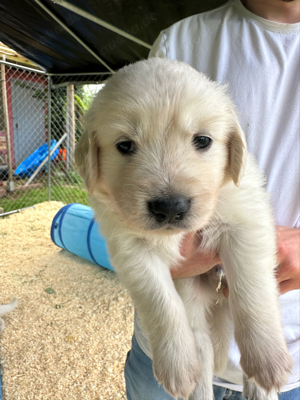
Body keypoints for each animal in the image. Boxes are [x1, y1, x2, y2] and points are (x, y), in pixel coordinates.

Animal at [75, 57, 292, 398]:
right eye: (125, 145)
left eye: (202, 140)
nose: (169, 207)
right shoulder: (129, 248)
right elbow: (160, 301)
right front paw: (176, 366)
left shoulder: (246, 221)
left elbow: (251, 288)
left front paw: (267, 356)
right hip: (193, 305)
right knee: (201, 350)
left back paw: (261, 379)